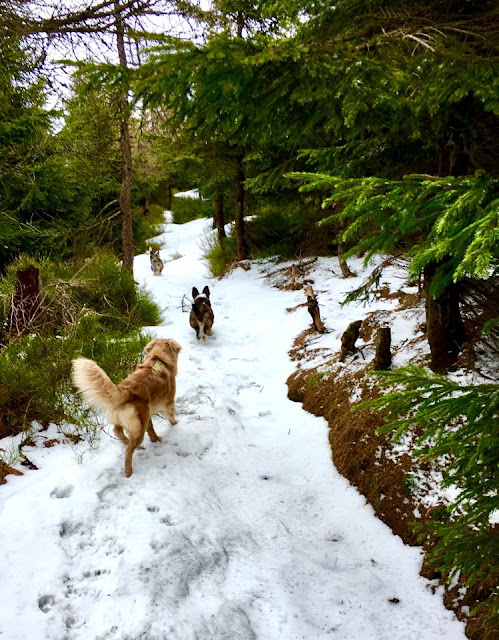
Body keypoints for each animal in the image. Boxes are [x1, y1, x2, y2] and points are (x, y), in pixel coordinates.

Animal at [72, 338, 182, 478]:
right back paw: (129, 471)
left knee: (117, 432)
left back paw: (126, 441)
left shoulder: (147, 414)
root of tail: (125, 391)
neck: (157, 358)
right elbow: (170, 414)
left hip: (130, 420)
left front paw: (155, 439)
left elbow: (151, 428)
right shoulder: (168, 401)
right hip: (139, 429)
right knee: (128, 451)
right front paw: (174, 423)